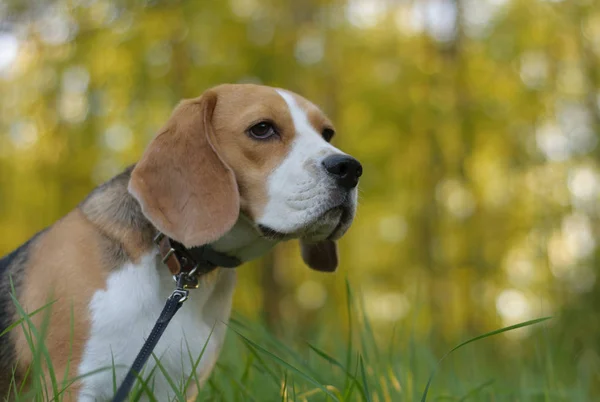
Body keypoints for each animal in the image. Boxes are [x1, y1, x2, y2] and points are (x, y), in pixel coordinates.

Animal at [0, 83, 360, 400]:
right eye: (262, 129)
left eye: (327, 134)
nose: (350, 168)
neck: (176, 265)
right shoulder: (75, 382)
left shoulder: (176, 386)